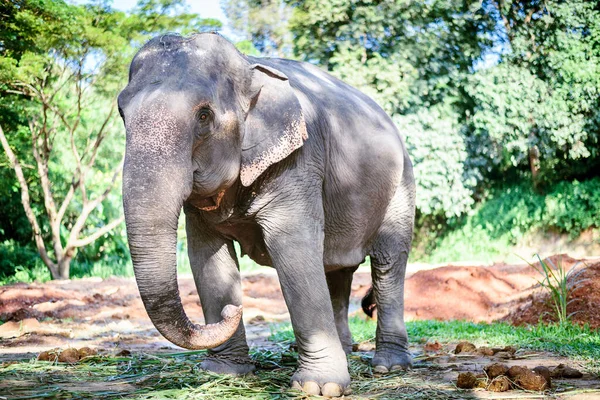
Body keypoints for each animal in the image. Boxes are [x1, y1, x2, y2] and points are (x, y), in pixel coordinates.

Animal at [119, 32, 414, 398]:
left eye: (204, 116)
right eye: (121, 113)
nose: (233, 310)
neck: (248, 67)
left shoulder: (299, 160)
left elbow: (293, 249)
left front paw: (320, 387)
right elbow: (207, 257)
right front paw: (223, 373)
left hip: (401, 183)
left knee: (388, 261)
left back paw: (390, 366)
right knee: (336, 268)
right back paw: (345, 351)